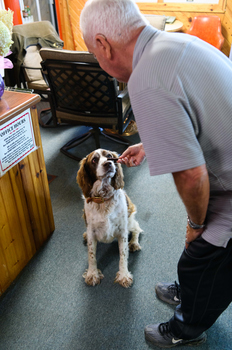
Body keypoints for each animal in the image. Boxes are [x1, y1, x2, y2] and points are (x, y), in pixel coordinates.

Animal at [77, 148, 142, 288]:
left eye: (109, 156)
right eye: (94, 160)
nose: (108, 163)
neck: (103, 199)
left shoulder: (122, 231)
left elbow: (123, 255)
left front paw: (123, 275)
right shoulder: (92, 231)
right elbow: (91, 255)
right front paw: (92, 274)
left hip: (130, 220)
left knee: (137, 228)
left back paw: (134, 243)